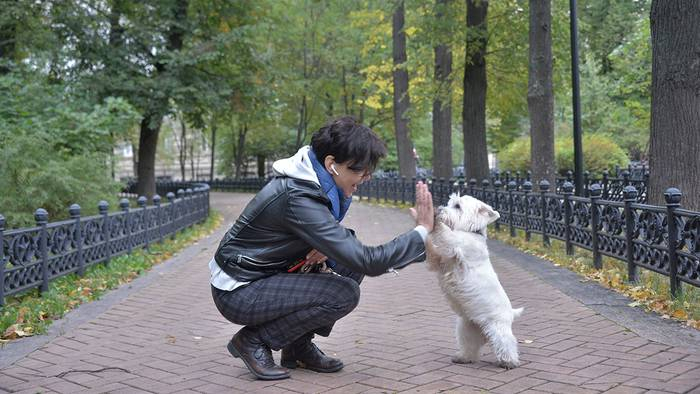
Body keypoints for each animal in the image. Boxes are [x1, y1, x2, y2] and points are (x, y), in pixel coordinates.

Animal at [424, 195, 524, 370]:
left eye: (457, 206)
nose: (440, 209)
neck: (471, 233)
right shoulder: (440, 262)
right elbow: (432, 252)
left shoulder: (455, 245)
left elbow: (444, 233)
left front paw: (433, 217)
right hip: (466, 328)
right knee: (470, 347)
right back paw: (462, 357)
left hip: (498, 327)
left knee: (506, 343)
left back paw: (509, 362)